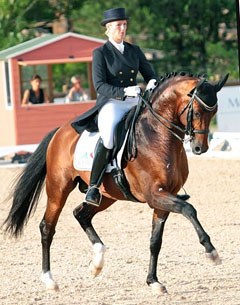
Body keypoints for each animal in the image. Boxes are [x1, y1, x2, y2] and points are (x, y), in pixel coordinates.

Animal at [2, 72, 229, 294]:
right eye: (197, 112)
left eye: (214, 112)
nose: (200, 148)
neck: (157, 136)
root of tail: (60, 131)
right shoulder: (155, 194)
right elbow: (189, 209)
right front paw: (211, 252)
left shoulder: (164, 196)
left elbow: (155, 241)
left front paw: (153, 281)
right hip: (58, 190)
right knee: (47, 227)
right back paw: (49, 280)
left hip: (106, 195)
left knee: (81, 214)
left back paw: (97, 263)